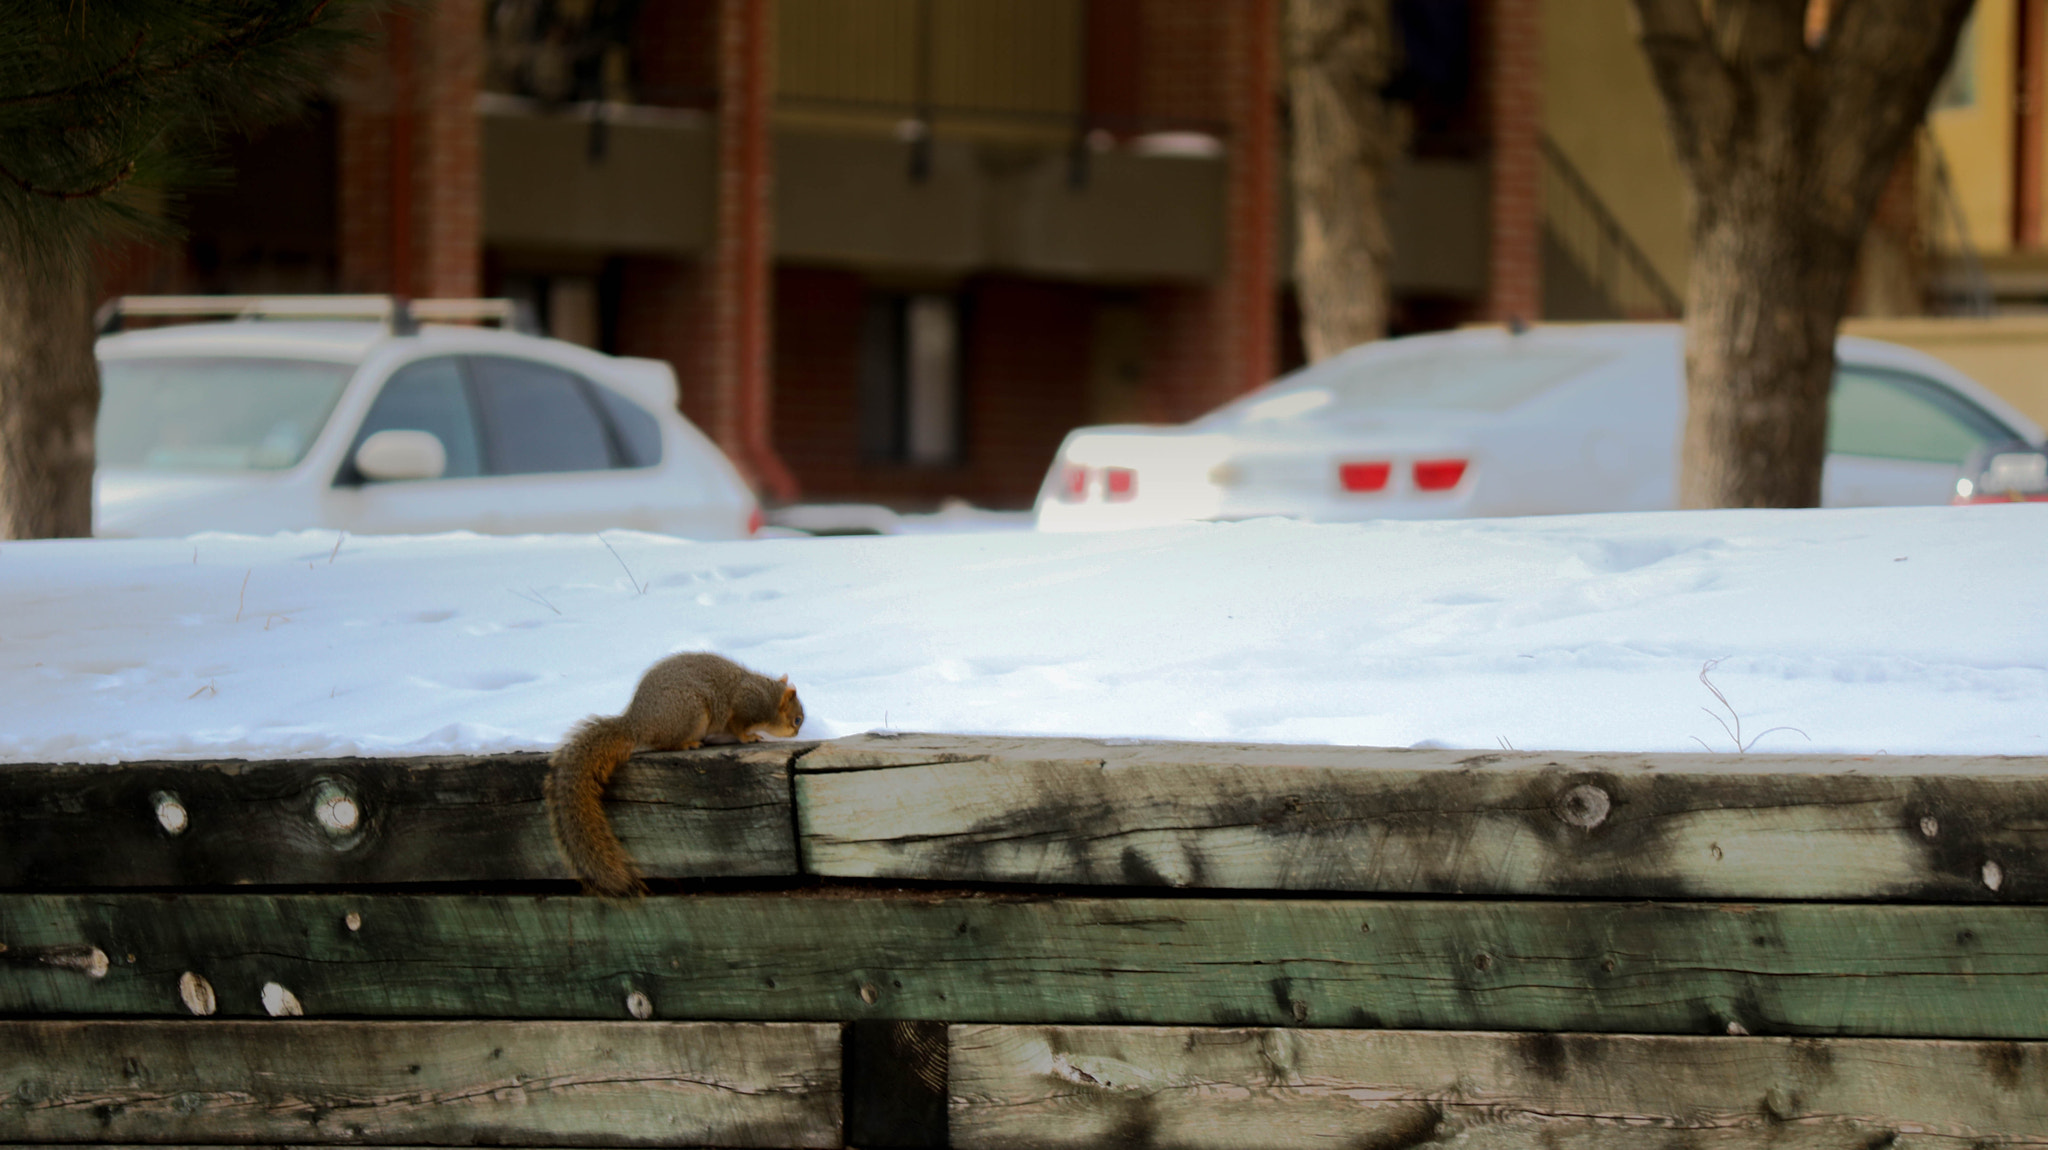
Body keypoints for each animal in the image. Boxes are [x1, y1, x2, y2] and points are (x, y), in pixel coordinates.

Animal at [546, 652, 804, 896]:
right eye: (797, 719)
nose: (796, 733)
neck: (768, 697)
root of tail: (637, 725)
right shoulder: (744, 708)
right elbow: (738, 728)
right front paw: (750, 738)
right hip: (690, 711)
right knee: (666, 743)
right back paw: (689, 743)